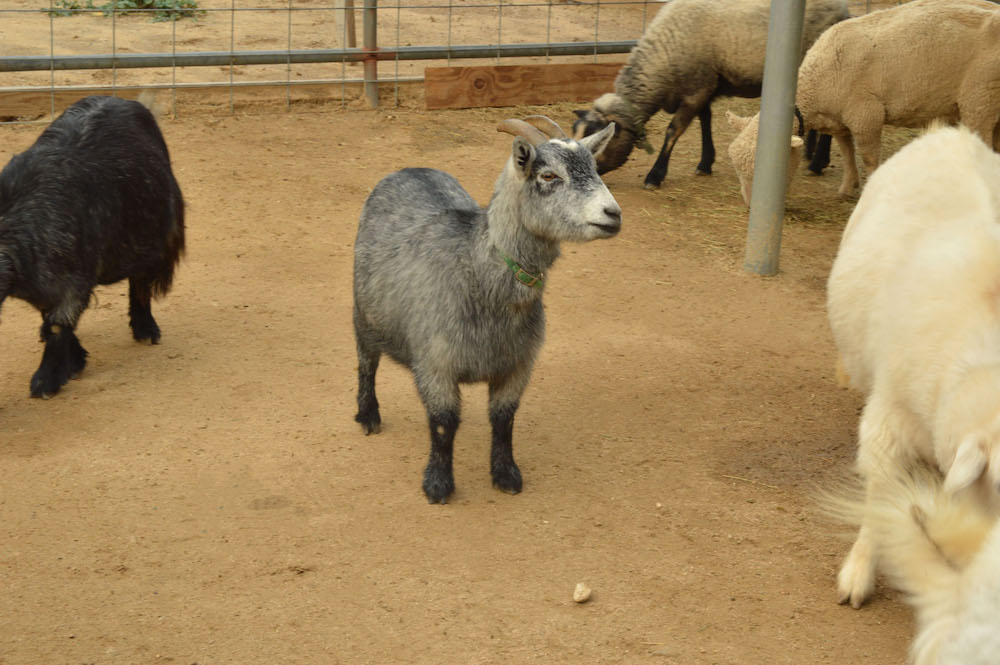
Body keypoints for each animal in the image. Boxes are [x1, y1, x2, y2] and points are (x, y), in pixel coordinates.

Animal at [0, 95, 184, 396]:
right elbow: (52, 321)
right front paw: (75, 361)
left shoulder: (70, 285)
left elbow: (58, 326)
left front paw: (47, 381)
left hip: (152, 238)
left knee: (140, 285)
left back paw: (146, 330)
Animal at [352, 115, 616, 504]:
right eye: (548, 175)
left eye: (596, 168)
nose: (613, 214)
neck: (477, 268)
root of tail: (410, 169)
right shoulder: (436, 364)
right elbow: (444, 424)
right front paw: (438, 485)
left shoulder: (517, 365)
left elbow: (504, 420)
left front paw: (506, 474)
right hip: (364, 312)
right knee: (366, 363)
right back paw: (368, 414)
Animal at [728, 0, 1000, 197]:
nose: (751, 205)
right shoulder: (839, 121)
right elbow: (847, 152)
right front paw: (848, 187)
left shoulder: (866, 116)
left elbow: (868, 157)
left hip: (980, 98)